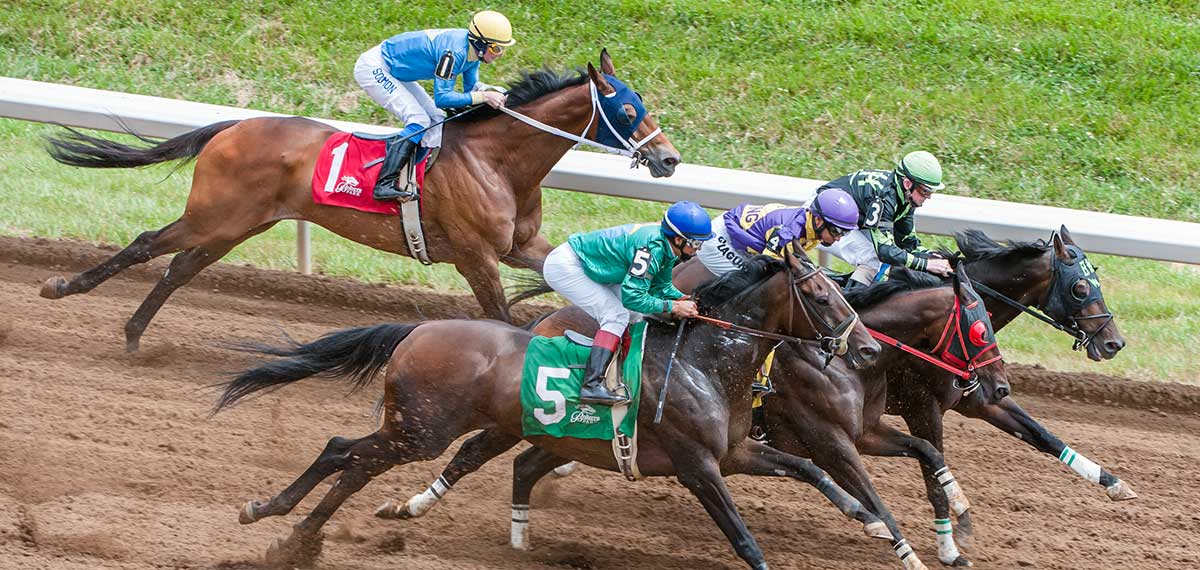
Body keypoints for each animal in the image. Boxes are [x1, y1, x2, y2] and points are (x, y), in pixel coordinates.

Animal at [39, 49, 680, 351]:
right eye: (628, 110)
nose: (671, 161)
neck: (498, 162)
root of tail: (233, 126)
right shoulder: (475, 256)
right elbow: (500, 315)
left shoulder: (520, 244)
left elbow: (551, 272)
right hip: (215, 215)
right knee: (150, 243)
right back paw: (64, 288)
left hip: (238, 224)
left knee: (180, 267)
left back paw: (133, 333)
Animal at [215, 243, 881, 570]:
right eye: (822, 294)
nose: (869, 349)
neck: (704, 362)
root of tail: (417, 329)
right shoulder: (697, 466)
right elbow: (743, 538)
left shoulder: (736, 451)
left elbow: (810, 466)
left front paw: (868, 516)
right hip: (419, 430)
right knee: (343, 453)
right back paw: (274, 520)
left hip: (428, 429)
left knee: (354, 463)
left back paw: (292, 531)